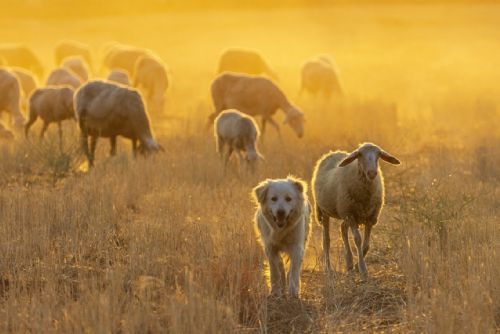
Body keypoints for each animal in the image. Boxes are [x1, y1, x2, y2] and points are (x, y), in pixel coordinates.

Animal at [310, 142, 400, 276]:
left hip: (345, 212)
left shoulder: (371, 217)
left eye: (379, 154)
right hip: (326, 210)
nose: (372, 173)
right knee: (326, 240)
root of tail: (333, 152)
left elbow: (366, 244)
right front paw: (363, 269)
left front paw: (357, 266)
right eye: (360, 154)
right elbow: (358, 240)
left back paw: (349, 262)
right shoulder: (351, 215)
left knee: (342, 228)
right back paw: (329, 268)